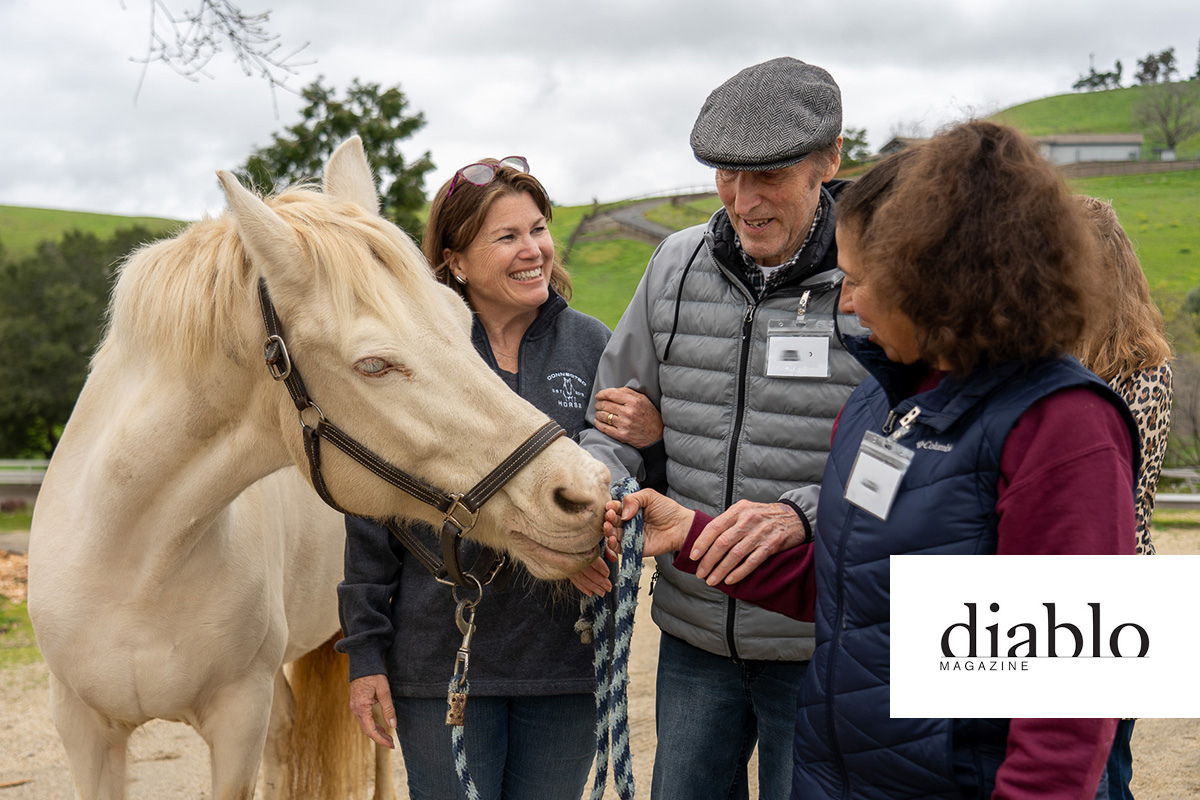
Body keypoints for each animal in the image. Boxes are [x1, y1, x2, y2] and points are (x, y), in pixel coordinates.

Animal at [26, 137, 611, 800]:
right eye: (375, 365)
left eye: (464, 324)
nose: (584, 492)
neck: (137, 558)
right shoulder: (84, 729)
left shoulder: (238, 718)